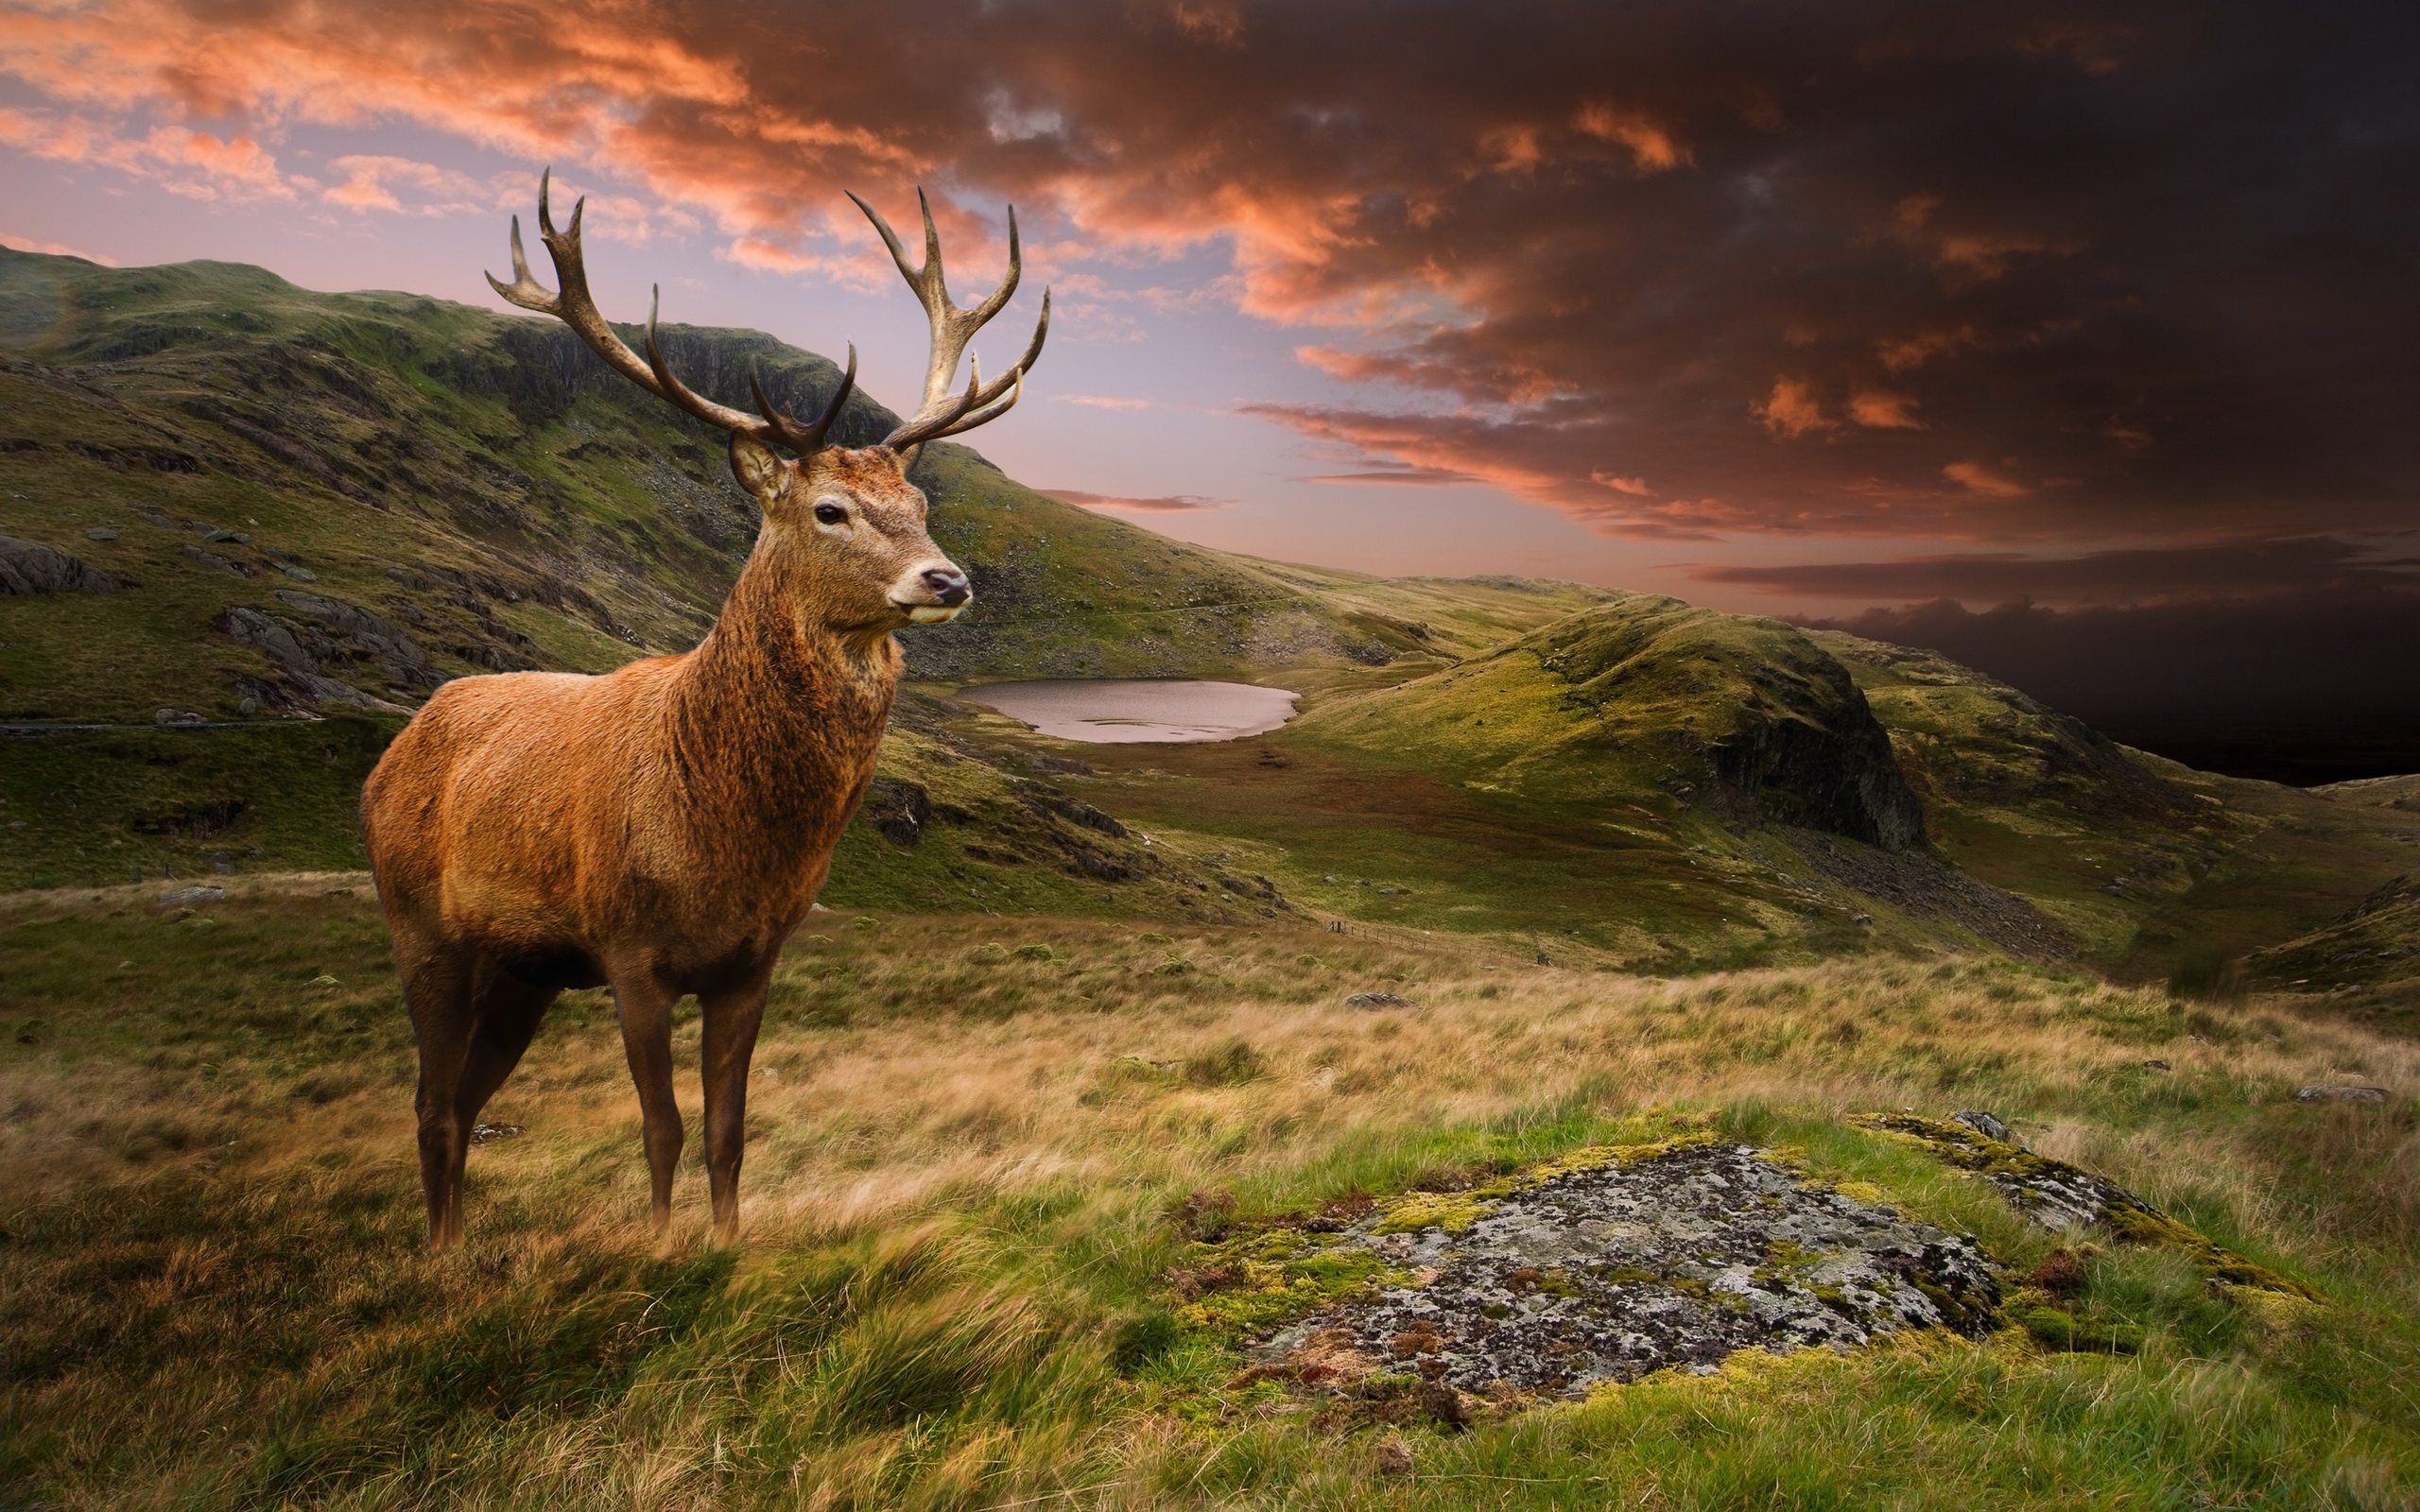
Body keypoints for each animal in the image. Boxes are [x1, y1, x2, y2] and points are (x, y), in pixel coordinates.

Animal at [363, 170, 1045, 1247]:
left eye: (923, 502)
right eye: (828, 510)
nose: (949, 579)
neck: (720, 839)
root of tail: (393, 750)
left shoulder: (752, 960)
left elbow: (729, 1126)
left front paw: (726, 1245)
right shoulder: (629, 950)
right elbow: (663, 1128)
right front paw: (659, 1248)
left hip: (522, 971)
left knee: (465, 1102)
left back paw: (460, 1247)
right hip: (420, 926)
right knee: (431, 1103)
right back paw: (437, 1257)